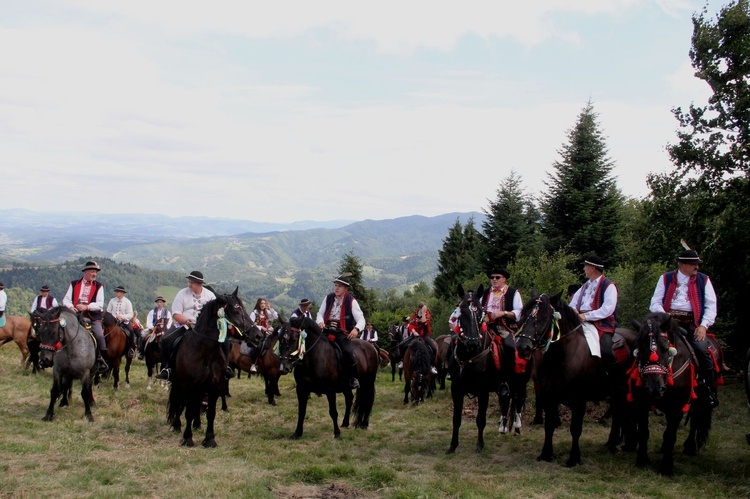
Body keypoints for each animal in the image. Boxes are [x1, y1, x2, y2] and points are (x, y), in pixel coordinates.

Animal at [167, 290, 253, 450]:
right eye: (236, 311)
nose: (258, 334)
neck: (204, 351)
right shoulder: (189, 386)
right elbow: (188, 411)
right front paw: (187, 438)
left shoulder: (214, 386)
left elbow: (210, 412)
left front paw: (209, 439)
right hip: (179, 384)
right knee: (180, 403)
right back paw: (177, 425)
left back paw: (197, 424)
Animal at [446, 284, 506, 456]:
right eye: (461, 312)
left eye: (480, 313)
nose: (472, 343)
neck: (470, 356)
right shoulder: (456, 389)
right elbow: (456, 419)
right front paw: (453, 445)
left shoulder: (483, 391)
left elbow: (480, 420)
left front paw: (480, 444)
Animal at [516, 292, 640, 466]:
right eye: (525, 315)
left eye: (544, 317)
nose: (523, 347)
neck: (562, 357)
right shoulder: (549, 398)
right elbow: (549, 426)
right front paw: (546, 453)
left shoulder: (579, 401)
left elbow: (575, 429)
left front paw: (574, 458)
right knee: (617, 412)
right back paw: (612, 443)